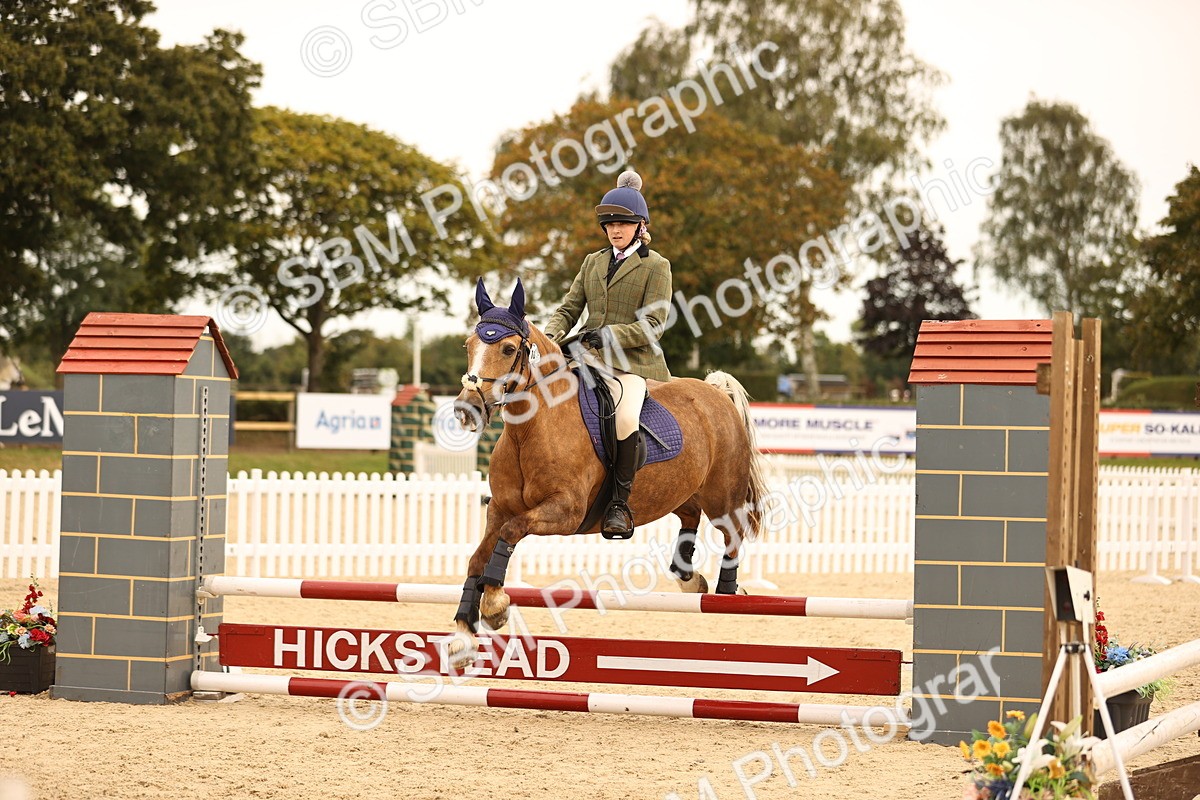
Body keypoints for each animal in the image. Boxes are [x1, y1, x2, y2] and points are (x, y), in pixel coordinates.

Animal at [447, 278, 770, 666]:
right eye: (469, 345)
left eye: (509, 349)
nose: (466, 409)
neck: (530, 431)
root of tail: (715, 392)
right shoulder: (500, 509)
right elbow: (477, 558)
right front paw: (463, 633)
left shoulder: (566, 512)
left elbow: (512, 532)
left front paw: (494, 605)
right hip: (678, 492)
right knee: (690, 517)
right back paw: (691, 580)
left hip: (722, 497)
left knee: (733, 534)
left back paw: (726, 591)